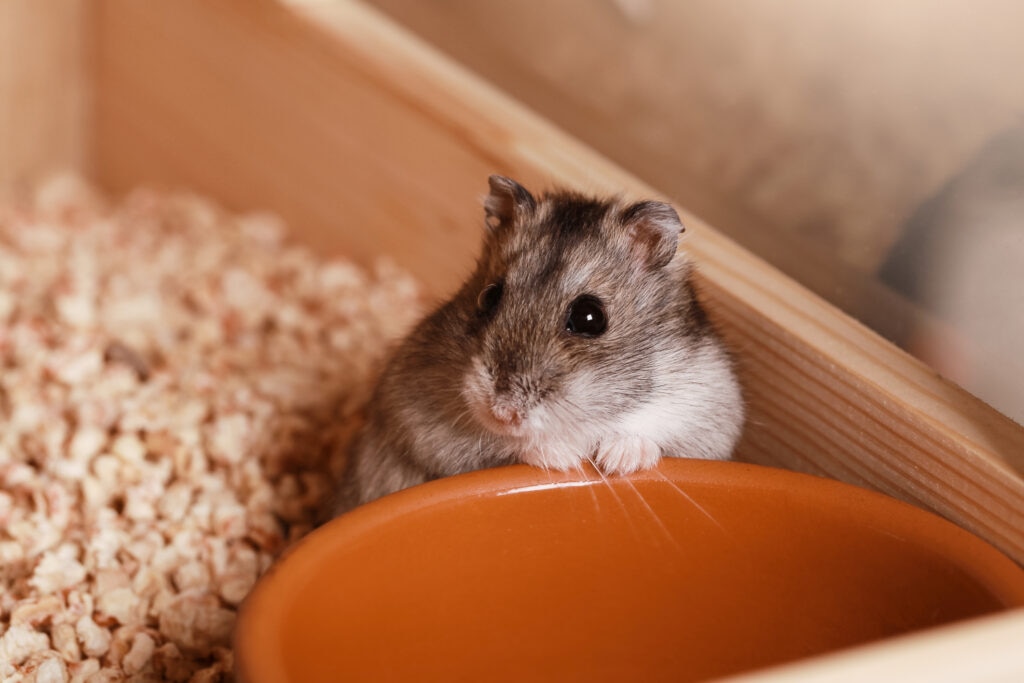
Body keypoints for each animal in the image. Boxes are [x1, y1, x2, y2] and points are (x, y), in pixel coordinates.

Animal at [334, 176, 744, 514]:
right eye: (489, 297)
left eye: (590, 317)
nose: (502, 413)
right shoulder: (418, 416)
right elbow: (510, 446)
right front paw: (566, 458)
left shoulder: (709, 415)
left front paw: (616, 460)